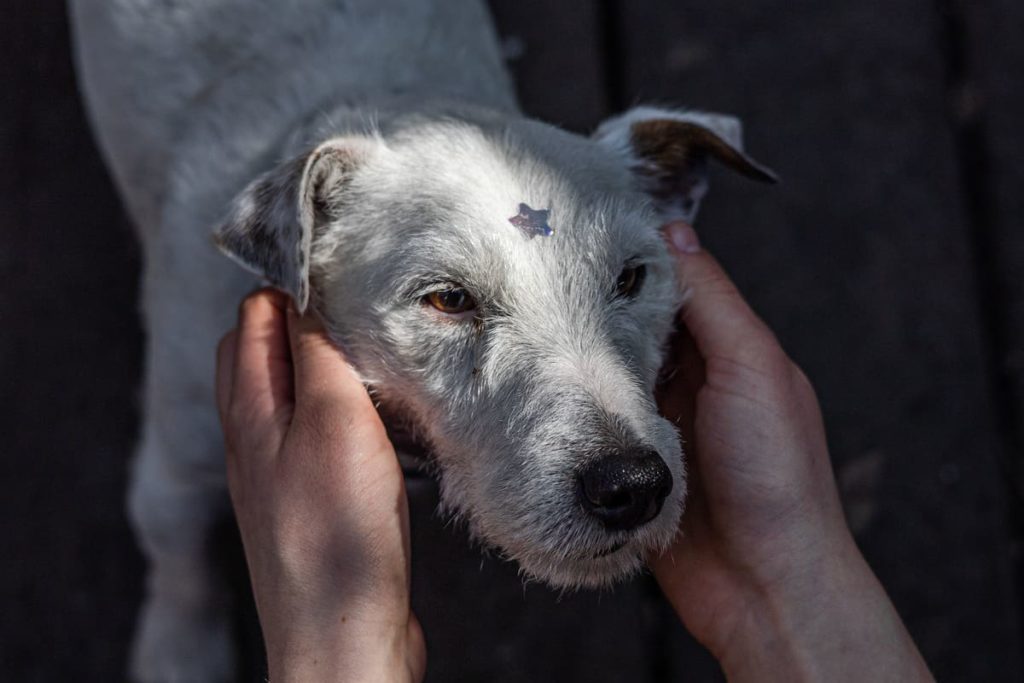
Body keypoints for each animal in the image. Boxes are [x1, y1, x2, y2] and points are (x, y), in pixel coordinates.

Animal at [71, 0, 776, 679]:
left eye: (631, 277)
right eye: (448, 300)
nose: (632, 485)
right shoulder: (175, 467)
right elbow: (181, 570)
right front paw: (178, 654)